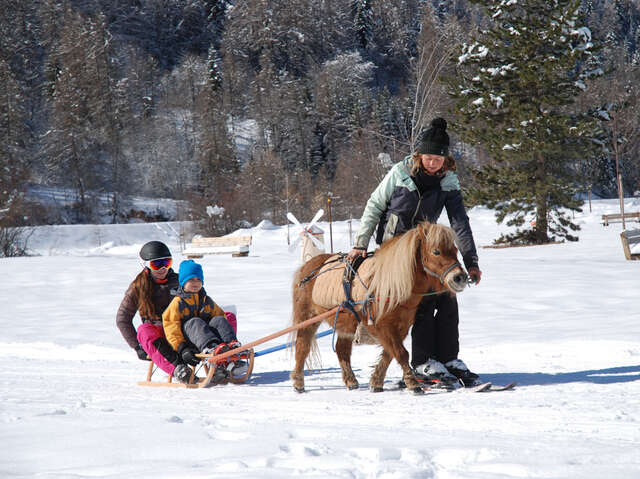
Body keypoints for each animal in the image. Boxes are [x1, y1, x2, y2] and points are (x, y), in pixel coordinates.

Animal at [288, 221, 464, 394]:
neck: (391, 286)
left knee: (341, 349)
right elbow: (401, 353)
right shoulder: (381, 327)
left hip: (346, 324)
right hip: (307, 318)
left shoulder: (401, 327)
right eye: (436, 251)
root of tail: (307, 266)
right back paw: (298, 382)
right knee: (302, 346)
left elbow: (389, 354)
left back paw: (350, 380)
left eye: (455, 250)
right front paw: (413, 383)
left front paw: (376, 381)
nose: (460, 277)